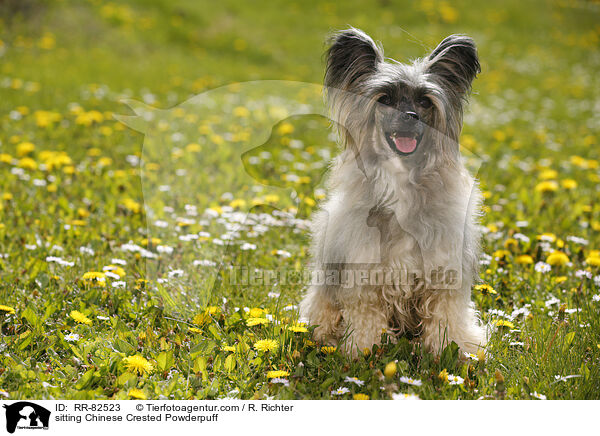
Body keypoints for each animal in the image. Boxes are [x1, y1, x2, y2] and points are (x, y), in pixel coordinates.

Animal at [300, 27, 488, 356]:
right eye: (385, 99)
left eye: (425, 101)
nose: (410, 117)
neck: (402, 179)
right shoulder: (364, 274)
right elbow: (366, 317)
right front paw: (365, 350)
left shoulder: (443, 270)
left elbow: (446, 315)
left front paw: (452, 350)